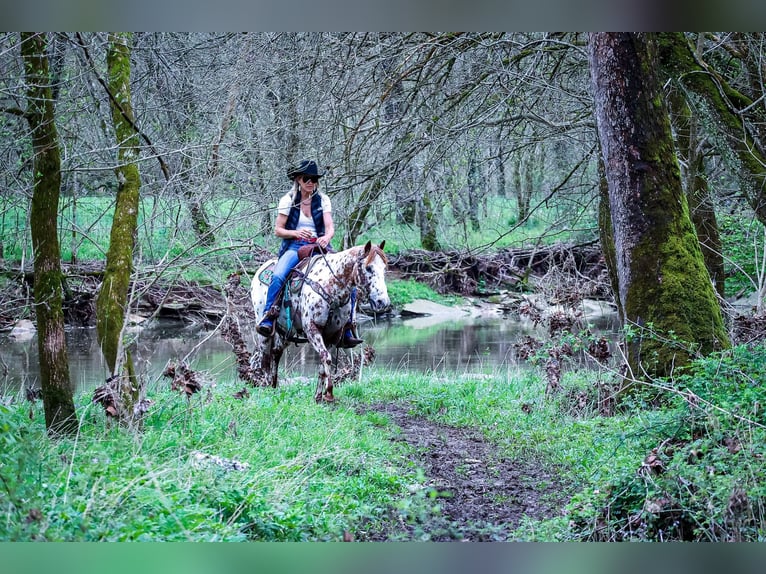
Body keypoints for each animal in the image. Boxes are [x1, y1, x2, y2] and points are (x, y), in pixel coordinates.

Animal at [254, 241, 390, 402]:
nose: (383, 302)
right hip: (264, 332)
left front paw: (318, 396)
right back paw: (266, 387)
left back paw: (274, 386)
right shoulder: (312, 329)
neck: (330, 286)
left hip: (285, 331)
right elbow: (326, 358)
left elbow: (323, 362)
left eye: (384, 268)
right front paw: (329, 392)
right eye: (368, 268)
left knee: (276, 353)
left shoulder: (332, 334)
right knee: (265, 359)